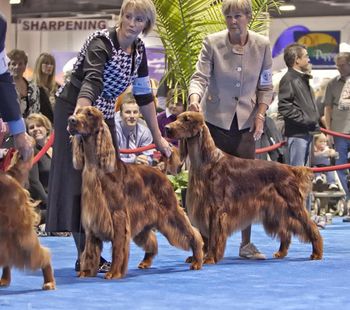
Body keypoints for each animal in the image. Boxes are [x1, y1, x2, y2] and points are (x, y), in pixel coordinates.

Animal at [68, 105, 204, 280]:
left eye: (89, 114)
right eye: (78, 112)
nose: (71, 120)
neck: (96, 168)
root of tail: (160, 170)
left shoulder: (118, 215)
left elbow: (118, 248)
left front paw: (114, 272)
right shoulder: (93, 217)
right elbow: (90, 249)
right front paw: (86, 272)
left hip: (171, 212)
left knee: (193, 233)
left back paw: (197, 260)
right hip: (145, 220)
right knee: (151, 239)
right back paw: (146, 261)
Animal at [165, 111, 324, 264]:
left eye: (187, 119)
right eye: (178, 118)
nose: (167, 128)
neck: (206, 161)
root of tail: (290, 168)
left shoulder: (215, 209)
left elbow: (213, 236)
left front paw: (209, 258)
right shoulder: (201, 207)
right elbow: (205, 236)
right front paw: (197, 257)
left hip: (293, 205)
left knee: (310, 227)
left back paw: (316, 253)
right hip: (277, 209)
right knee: (286, 230)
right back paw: (281, 252)